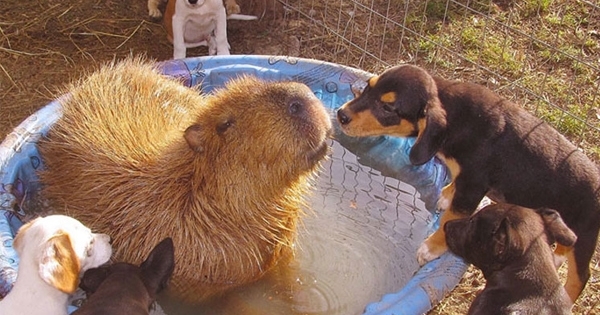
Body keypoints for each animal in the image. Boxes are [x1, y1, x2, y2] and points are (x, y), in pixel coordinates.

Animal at [336, 63, 600, 302]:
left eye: (388, 107)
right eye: (369, 87)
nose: (341, 115)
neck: (457, 117)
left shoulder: (473, 185)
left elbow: (450, 218)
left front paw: (431, 247)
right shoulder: (463, 177)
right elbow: (453, 187)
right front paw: (445, 194)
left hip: (586, 234)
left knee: (580, 275)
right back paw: (555, 258)